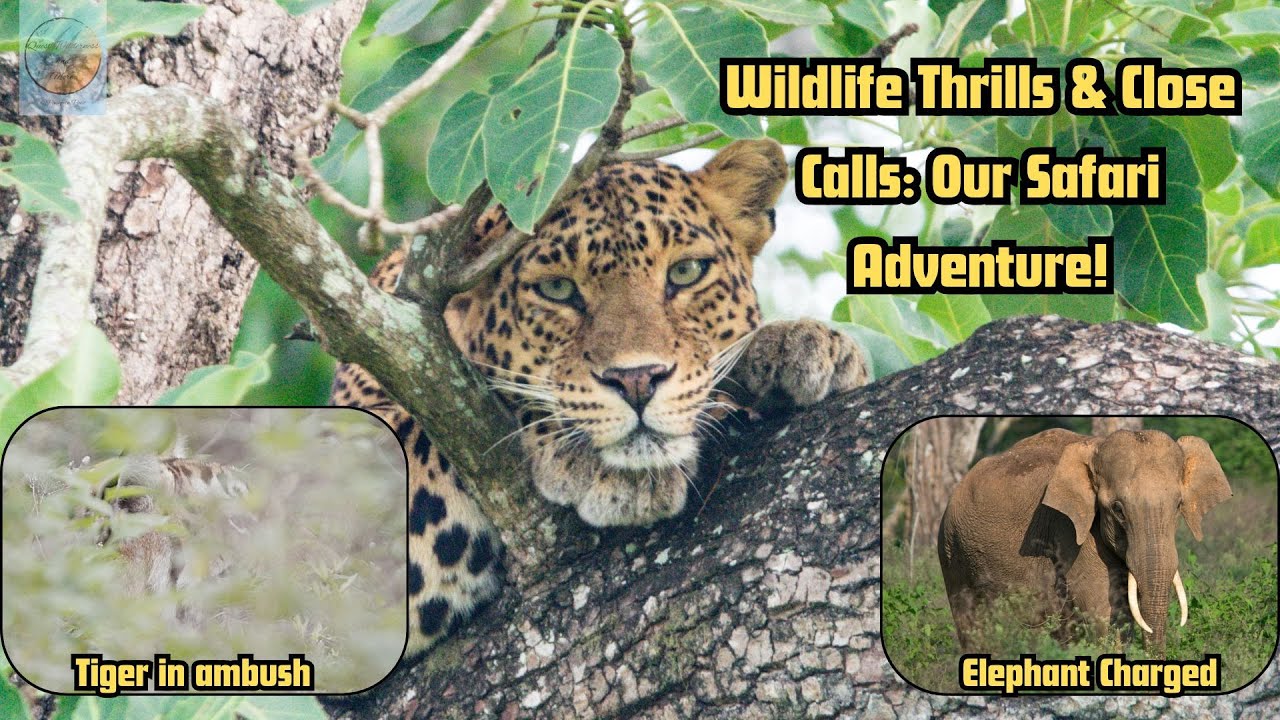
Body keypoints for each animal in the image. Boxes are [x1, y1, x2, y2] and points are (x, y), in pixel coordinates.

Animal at [329, 139, 868, 657]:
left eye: (687, 272)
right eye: (556, 288)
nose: (638, 380)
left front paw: (802, 346)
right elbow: (434, 437)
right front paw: (600, 465)